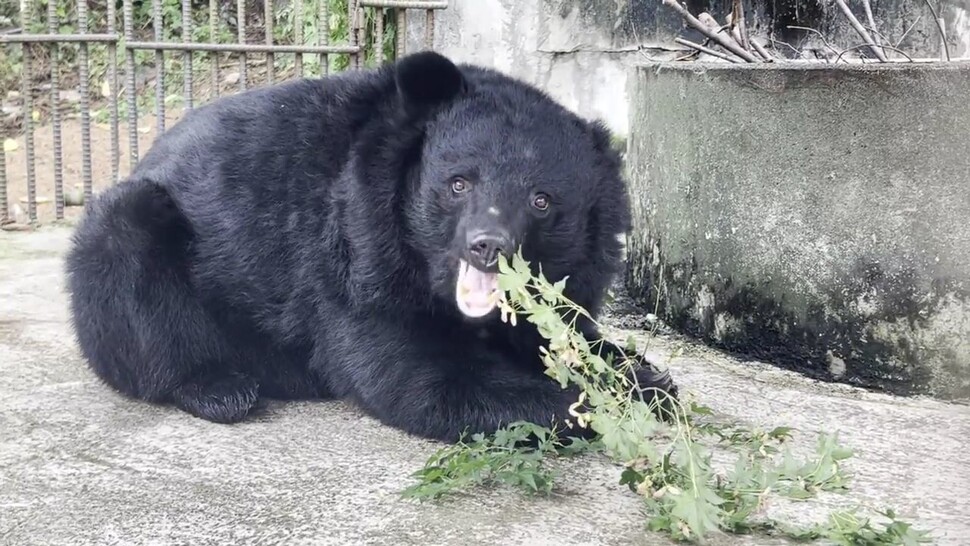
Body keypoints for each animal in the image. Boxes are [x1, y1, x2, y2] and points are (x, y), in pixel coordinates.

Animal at [66, 50, 672, 442]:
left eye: (542, 200)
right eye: (459, 183)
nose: (488, 247)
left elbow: (561, 334)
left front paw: (650, 384)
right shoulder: (352, 261)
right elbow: (420, 379)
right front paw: (588, 407)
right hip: (128, 239)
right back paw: (219, 387)